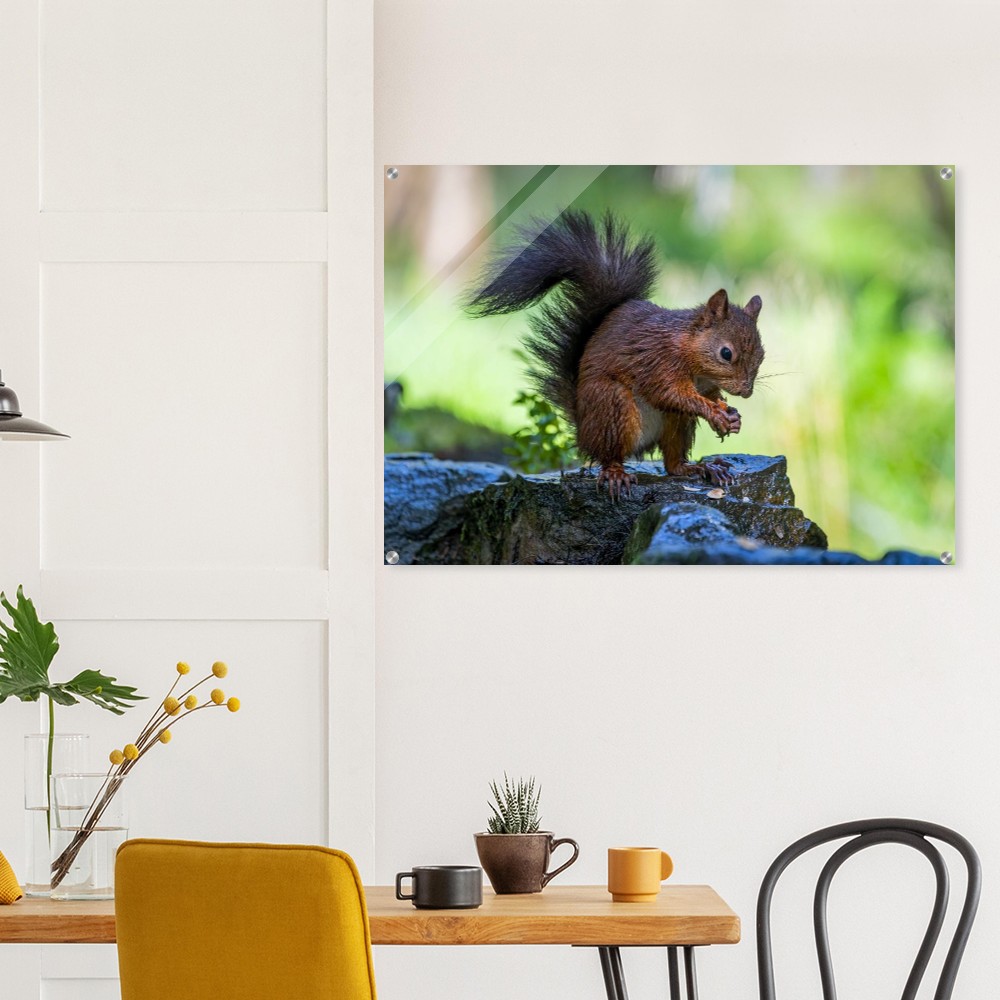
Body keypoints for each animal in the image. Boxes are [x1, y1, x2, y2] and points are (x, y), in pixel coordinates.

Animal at [466, 210, 766, 496]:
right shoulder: (658, 361)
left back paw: (700, 468)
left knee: (672, 463)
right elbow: (670, 393)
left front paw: (731, 415)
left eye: (762, 355)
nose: (746, 391)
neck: (691, 354)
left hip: (676, 423)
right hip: (612, 406)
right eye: (726, 353)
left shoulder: (704, 384)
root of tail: (583, 430)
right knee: (609, 454)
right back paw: (616, 474)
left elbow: (708, 396)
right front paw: (715, 413)